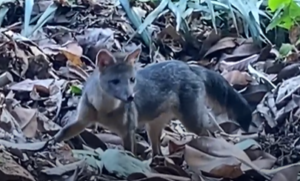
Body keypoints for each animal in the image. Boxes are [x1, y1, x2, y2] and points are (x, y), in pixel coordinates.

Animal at [51, 46, 251, 154]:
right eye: (115, 81)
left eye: (132, 80)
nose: (130, 97)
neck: (103, 110)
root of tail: (188, 66)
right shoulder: (82, 120)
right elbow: (63, 132)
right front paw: (50, 142)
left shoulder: (128, 131)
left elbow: (128, 153)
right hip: (153, 127)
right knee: (157, 151)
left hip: (192, 122)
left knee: (210, 130)